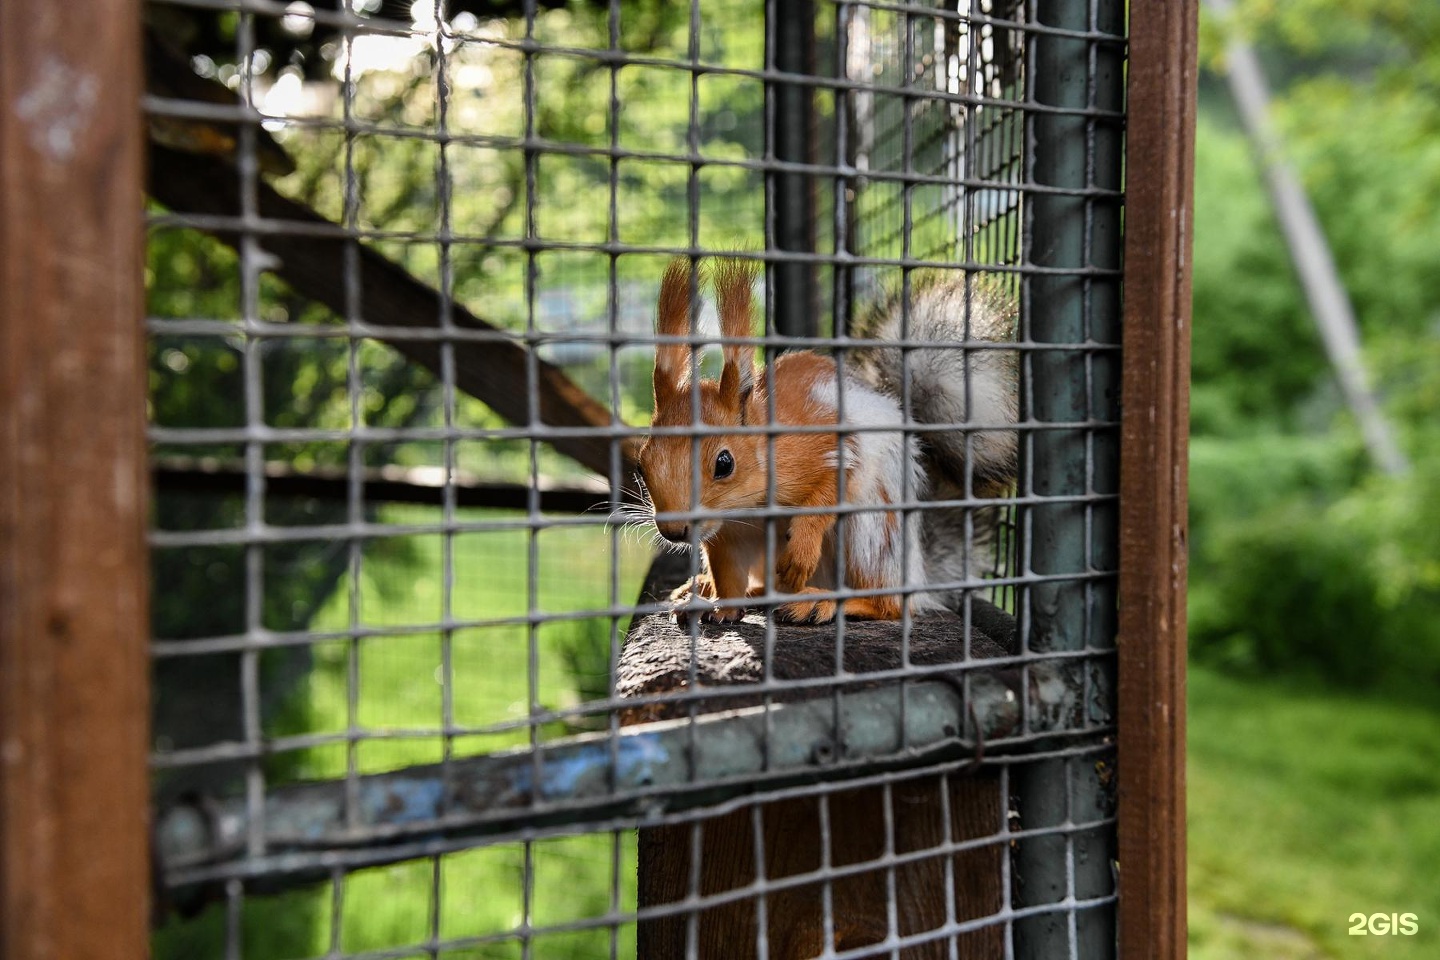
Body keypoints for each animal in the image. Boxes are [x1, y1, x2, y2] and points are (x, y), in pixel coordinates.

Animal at [633, 259, 1025, 627]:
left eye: (724, 463)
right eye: (641, 464)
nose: (673, 530)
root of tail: (917, 577)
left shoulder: (832, 445)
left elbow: (832, 488)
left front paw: (803, 547)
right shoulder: (727, 534)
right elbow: (728, 573)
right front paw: (722, 606)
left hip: (871, 532)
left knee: (890, 604)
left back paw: (822, 601)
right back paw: (712, 588)